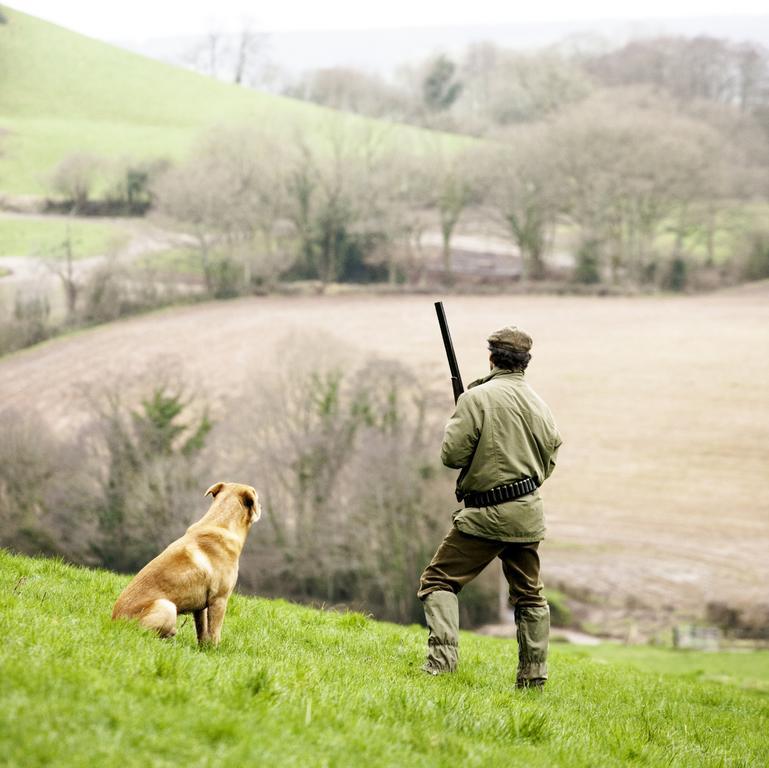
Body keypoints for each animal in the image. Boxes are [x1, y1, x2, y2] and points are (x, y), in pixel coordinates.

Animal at [112, 484, 260, 644]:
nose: (261, 506)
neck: (221, 523)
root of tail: (115, 622)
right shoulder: (219, 600)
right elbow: (215, 633)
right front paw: (214, 649)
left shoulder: (200, 608)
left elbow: (202, 631)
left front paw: (203, 647)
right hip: (167, 606)